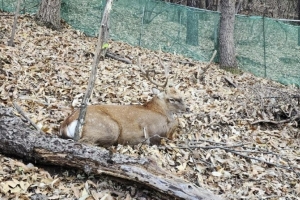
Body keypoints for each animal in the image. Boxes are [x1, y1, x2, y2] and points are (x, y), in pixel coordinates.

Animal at [59, 57, 189, 147]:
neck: (159, 111)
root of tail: (66, 123)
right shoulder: (154, 129)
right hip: (109, 128)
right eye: (171, 99)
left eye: (181, 95)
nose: (188, 108)